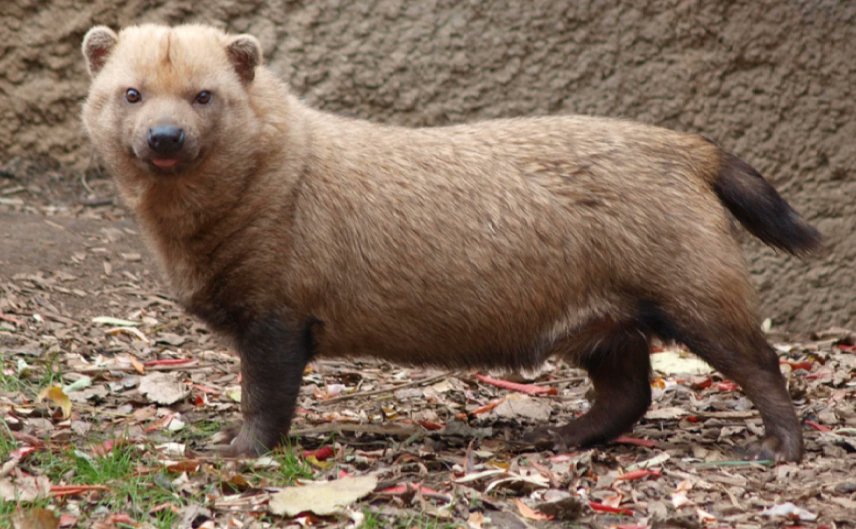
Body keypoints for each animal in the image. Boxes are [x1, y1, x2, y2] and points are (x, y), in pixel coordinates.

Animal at [81, 23, 820, 461]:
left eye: (204, 95)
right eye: (131, 93)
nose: (165, 137)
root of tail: (691, 149)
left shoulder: (276, 315)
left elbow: (266, 397)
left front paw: (234, 447)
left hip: (695, 289)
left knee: (760, 363)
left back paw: (778, 447)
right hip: (605, 322)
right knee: (627, 393)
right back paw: (555, 435)